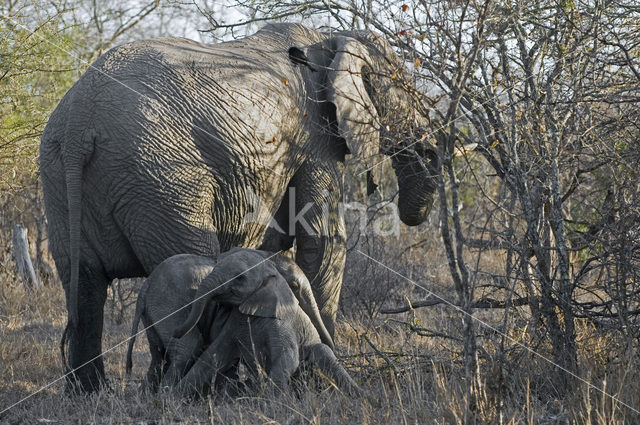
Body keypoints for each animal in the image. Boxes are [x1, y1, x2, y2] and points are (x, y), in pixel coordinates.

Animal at [41, 21, 440, 390]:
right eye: (406, 89)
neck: (331, 40)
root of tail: (79, 126)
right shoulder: (316, 136)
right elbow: (323, 240)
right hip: (160, 178)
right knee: (192, 266)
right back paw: (220, 390)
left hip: (58, 175)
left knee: (84, 287)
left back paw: (90, 393)